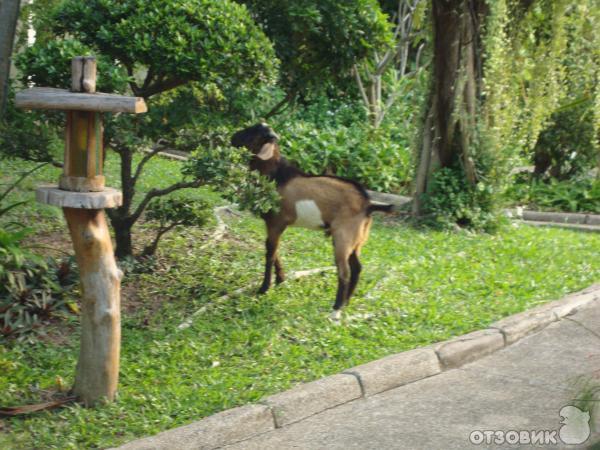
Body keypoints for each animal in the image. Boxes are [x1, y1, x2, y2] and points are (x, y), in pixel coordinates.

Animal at [231, 123, 394, 320]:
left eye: (252, 133)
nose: (232, 138)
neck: (277, 175)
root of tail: (368, 203)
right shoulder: (274, 225)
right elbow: (274, 250)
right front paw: (280, 280)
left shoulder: (276, 222)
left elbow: (269, 253)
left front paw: (264, 289)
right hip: (358, 239)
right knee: (357, 268)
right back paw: (346, 302)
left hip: (343, 237)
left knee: (344, 271)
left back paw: (336, 309)